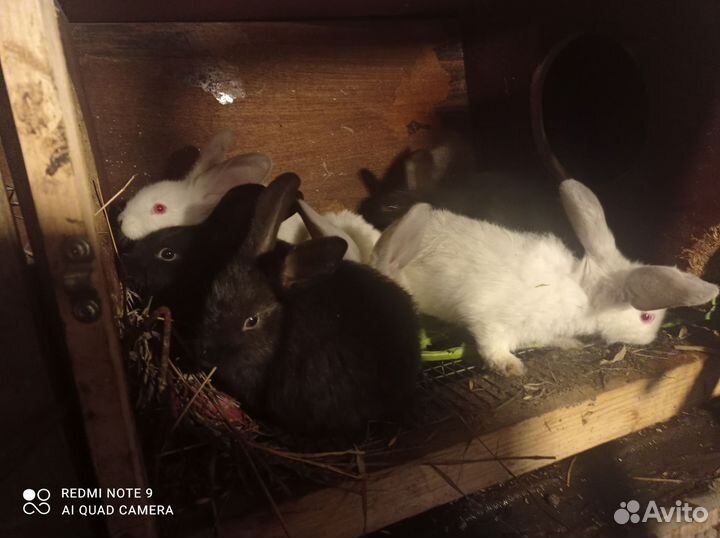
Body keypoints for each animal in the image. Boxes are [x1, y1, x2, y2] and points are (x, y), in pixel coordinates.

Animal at [371, 179, 719, 376]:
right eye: (647, 317)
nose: (650, 339)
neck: (583, 295)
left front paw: (569, 344)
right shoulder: (490, 319)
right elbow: (491, 345)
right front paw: (511, 367)